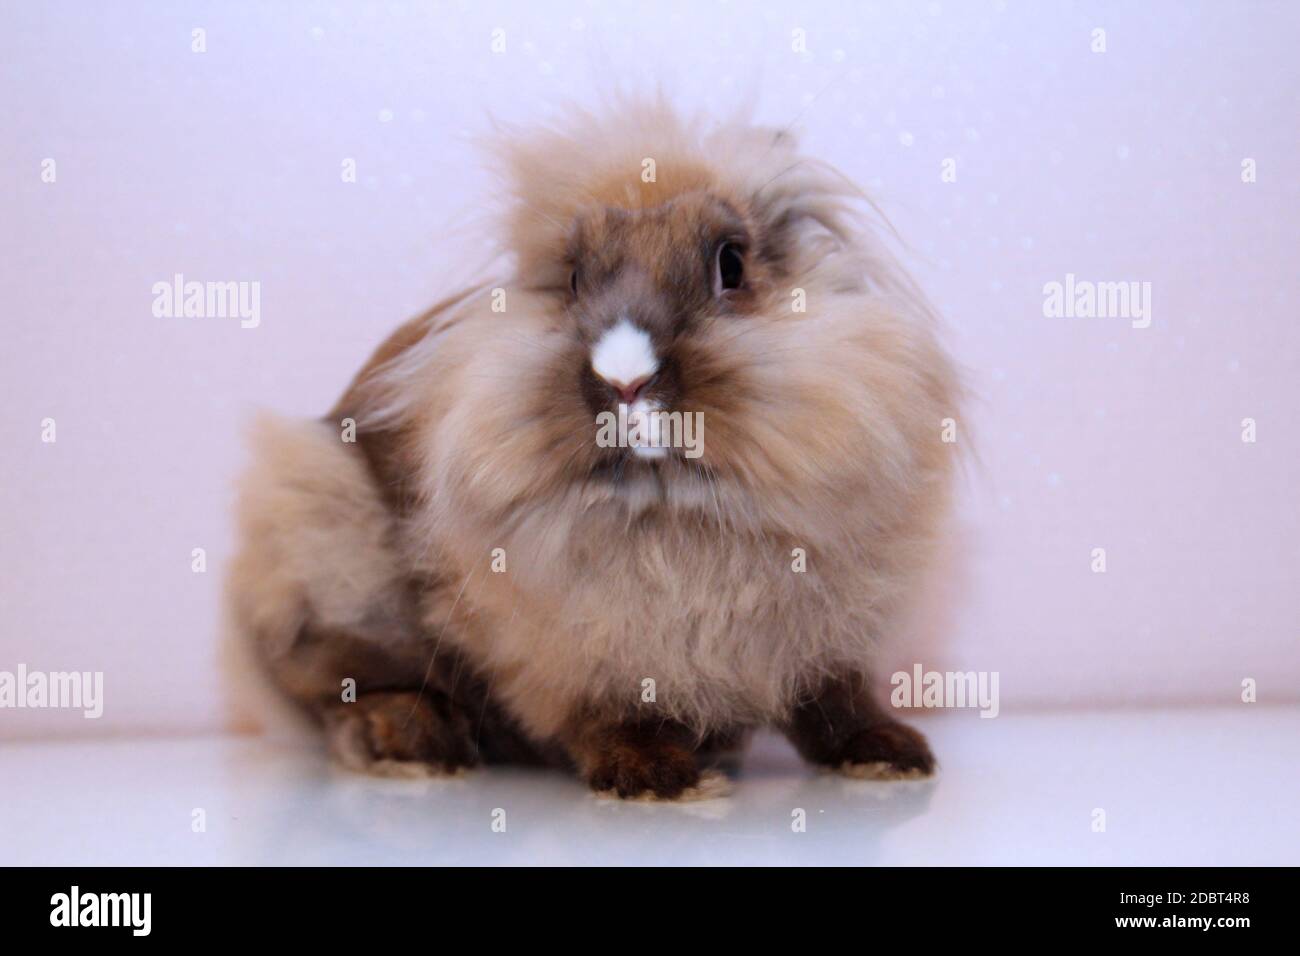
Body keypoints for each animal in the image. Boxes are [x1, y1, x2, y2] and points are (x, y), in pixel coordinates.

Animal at [225, 99, 962, 799]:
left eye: (731, 262)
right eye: (575, 278)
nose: (625, 379)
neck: (671, 511)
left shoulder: (827, 638)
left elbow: (836, 697)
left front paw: (891, 755)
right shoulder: (572, 654)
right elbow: (607, 713)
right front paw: (659, 779)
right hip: (328, 549)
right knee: (335, 691)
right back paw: (414, 741)